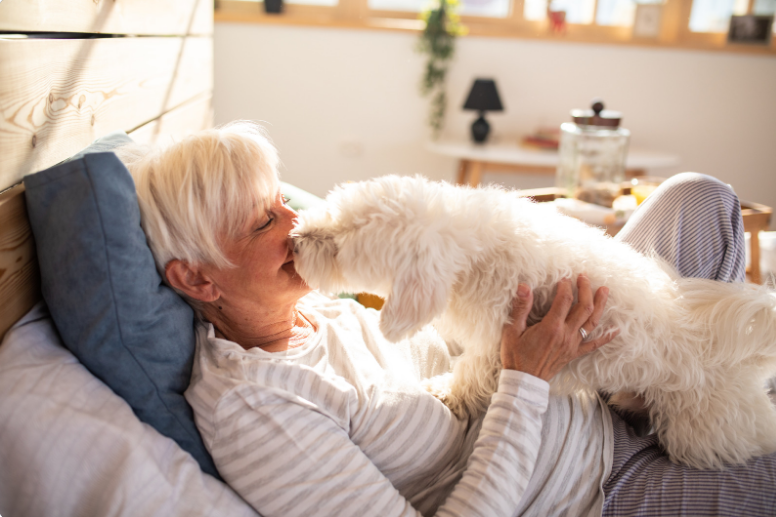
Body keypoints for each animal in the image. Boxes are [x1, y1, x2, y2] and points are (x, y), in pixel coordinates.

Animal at [290, 175, 776, 470]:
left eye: (339, 243)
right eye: (333, 213)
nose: (295, 239)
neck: (474, 249)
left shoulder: (496, 343)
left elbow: (471, 375)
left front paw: (446, 394)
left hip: (705, 431)